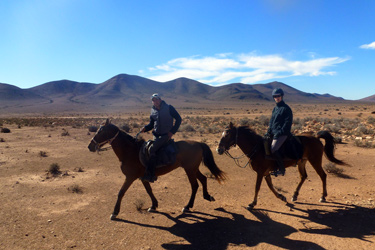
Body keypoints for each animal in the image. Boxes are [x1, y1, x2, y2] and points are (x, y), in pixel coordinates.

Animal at [87, 119, 226, 219]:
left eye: (100, 131)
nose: (90, 146)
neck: (130, 151)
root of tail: (198, 143)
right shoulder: (143, 177)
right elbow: (149, 190)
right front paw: (153, 206)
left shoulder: (130, 177)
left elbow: (121, 192)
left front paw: (115, 212)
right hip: (193, 168)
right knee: (203, 179)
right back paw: (207, 196)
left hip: (189, 169)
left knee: (195, 185)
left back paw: (187, 206)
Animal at [217, 122, 350, 210]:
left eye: (227, 135)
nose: (218, 150)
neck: (257, 148)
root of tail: (316, 138)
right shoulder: (265, 172)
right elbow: (270, 187)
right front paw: (282, 197)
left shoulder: (260, 172)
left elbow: (257, 187)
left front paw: (252, 203)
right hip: (302, 161)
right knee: (303, 176)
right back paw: (294, 195)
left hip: (315, 160)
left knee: (322, 175)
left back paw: (323, 196)